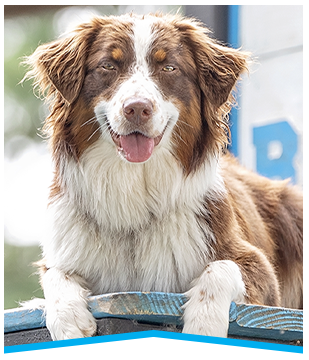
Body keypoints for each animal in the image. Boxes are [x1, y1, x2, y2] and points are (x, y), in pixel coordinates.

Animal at [23, 13, 300, 346]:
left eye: (169, 68)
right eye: (108, 66)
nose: (137, 108)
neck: (135, 188)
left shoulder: (258, 271)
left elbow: (221, 268)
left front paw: (203, 330)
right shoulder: (64, 250)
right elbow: (55, 274)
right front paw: (68, 321)